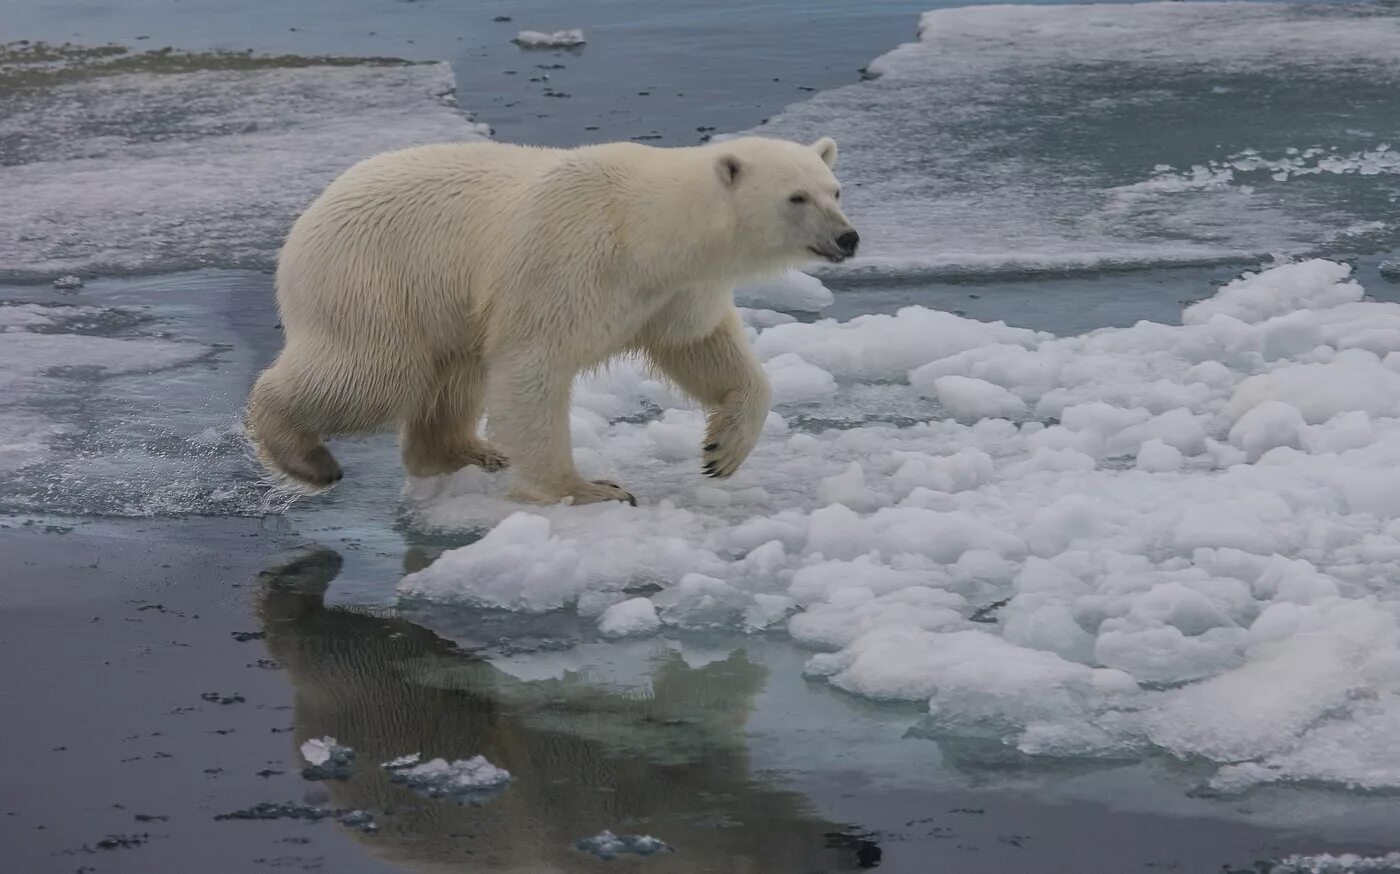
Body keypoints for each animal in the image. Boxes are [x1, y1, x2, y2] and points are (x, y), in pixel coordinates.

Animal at [247, 136, 856, 504]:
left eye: (835, 189)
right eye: (796, 197)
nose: (847, 237)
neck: (646, 230)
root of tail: (308, 217)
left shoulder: (676, 291)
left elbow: (701, 347)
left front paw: (722, 451)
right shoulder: (566, 262)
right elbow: (532, 366)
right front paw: (592, 489)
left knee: (455, 374)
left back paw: (467, 451)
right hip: (375, 281)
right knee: (372, 375)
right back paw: (306, 456)